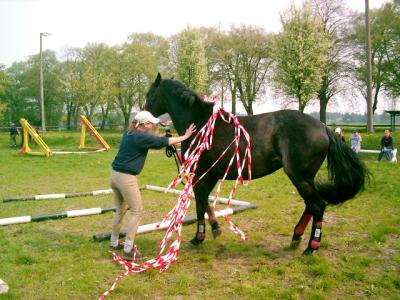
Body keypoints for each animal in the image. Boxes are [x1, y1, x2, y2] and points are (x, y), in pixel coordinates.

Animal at [145, 72, 368, 253]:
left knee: (318, 205)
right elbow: (205, 201)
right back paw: (296, 236)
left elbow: (200, 203)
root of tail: (323, 128)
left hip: (300, 176)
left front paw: (199, 237)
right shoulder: (209, 174)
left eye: (150, 95)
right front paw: (215, 228)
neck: (201, 122)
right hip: (304, 178)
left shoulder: (201, 173)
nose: (143, 115)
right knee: (311, 205)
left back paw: (311, 247)